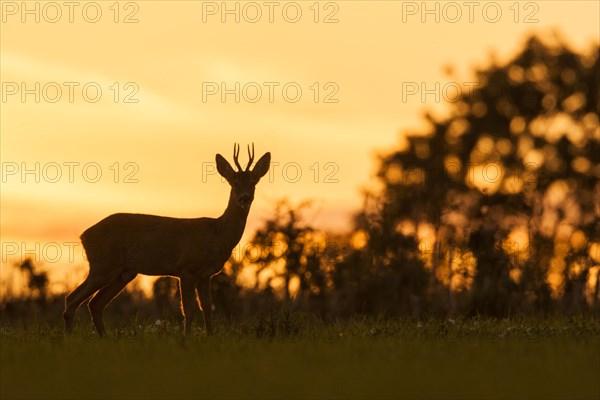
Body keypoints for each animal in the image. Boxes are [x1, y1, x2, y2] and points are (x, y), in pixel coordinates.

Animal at [63, 144, 270, 338]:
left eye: (254, 182)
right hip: (102, 266)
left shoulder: (205, 274)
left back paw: (105, 338)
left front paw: (210, 337)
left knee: (95, 303)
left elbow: (207, 308)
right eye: (233, 183)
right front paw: (186, 338)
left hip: (123, 273)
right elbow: (188, 309)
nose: (244, 198)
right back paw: (69, 338)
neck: (217, 234)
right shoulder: (186, 269)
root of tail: (84, 235)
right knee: (72, 299)